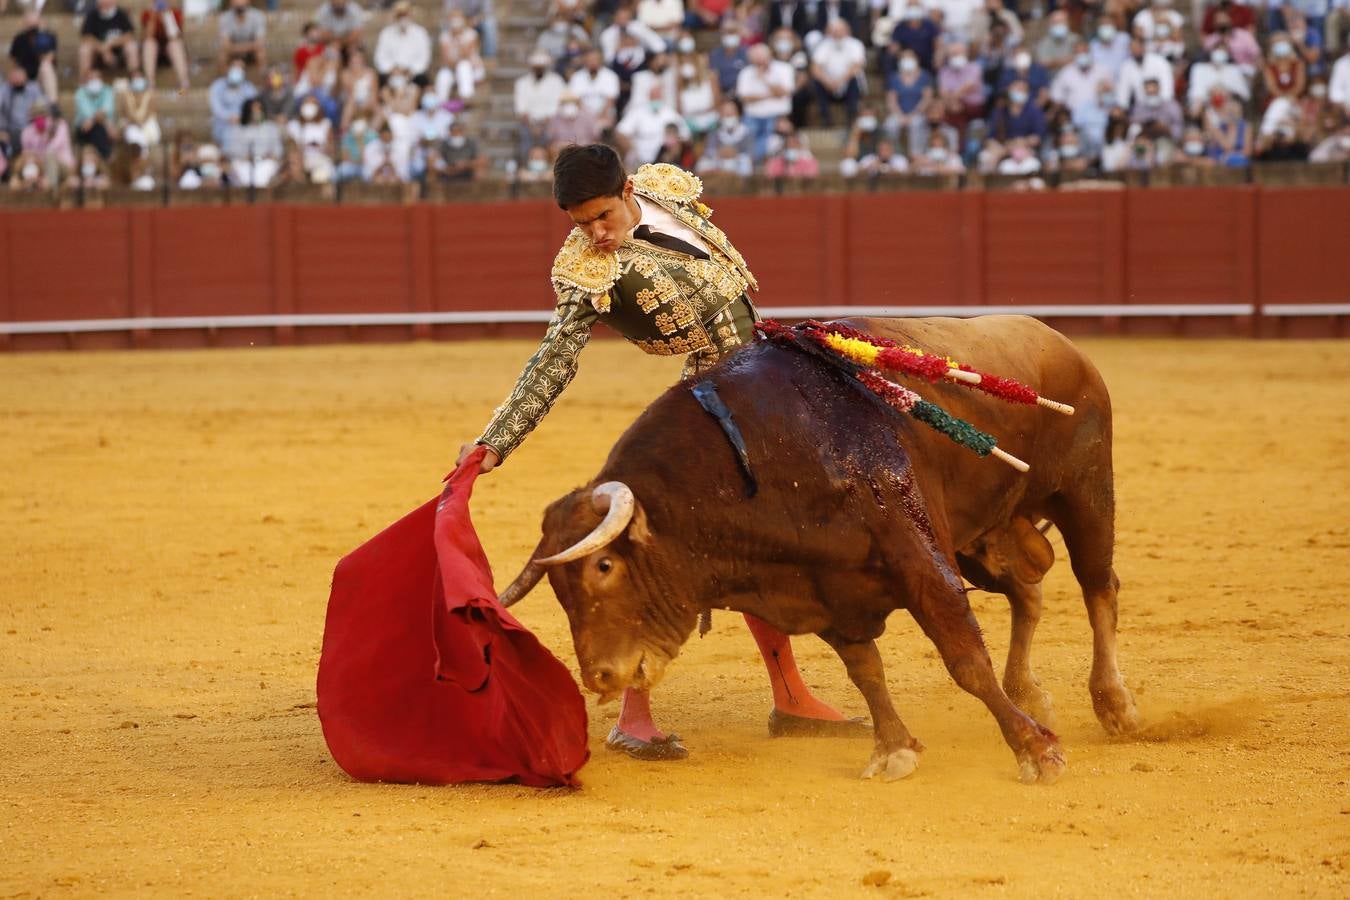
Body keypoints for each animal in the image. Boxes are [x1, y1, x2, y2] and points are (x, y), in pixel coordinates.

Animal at [496, 317, 1139, 782]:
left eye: (604, 565)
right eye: (559, 590)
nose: (599, 676)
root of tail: (1056, 338)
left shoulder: (920, 560)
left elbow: (964, 659)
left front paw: (1036, 752)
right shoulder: (828, 589)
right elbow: (866, 671)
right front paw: (893, 750)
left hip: (1084, 492)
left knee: (1097, 585)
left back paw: (1114, 705)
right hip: (984, 538)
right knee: (1028, 593)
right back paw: (1031, 692)